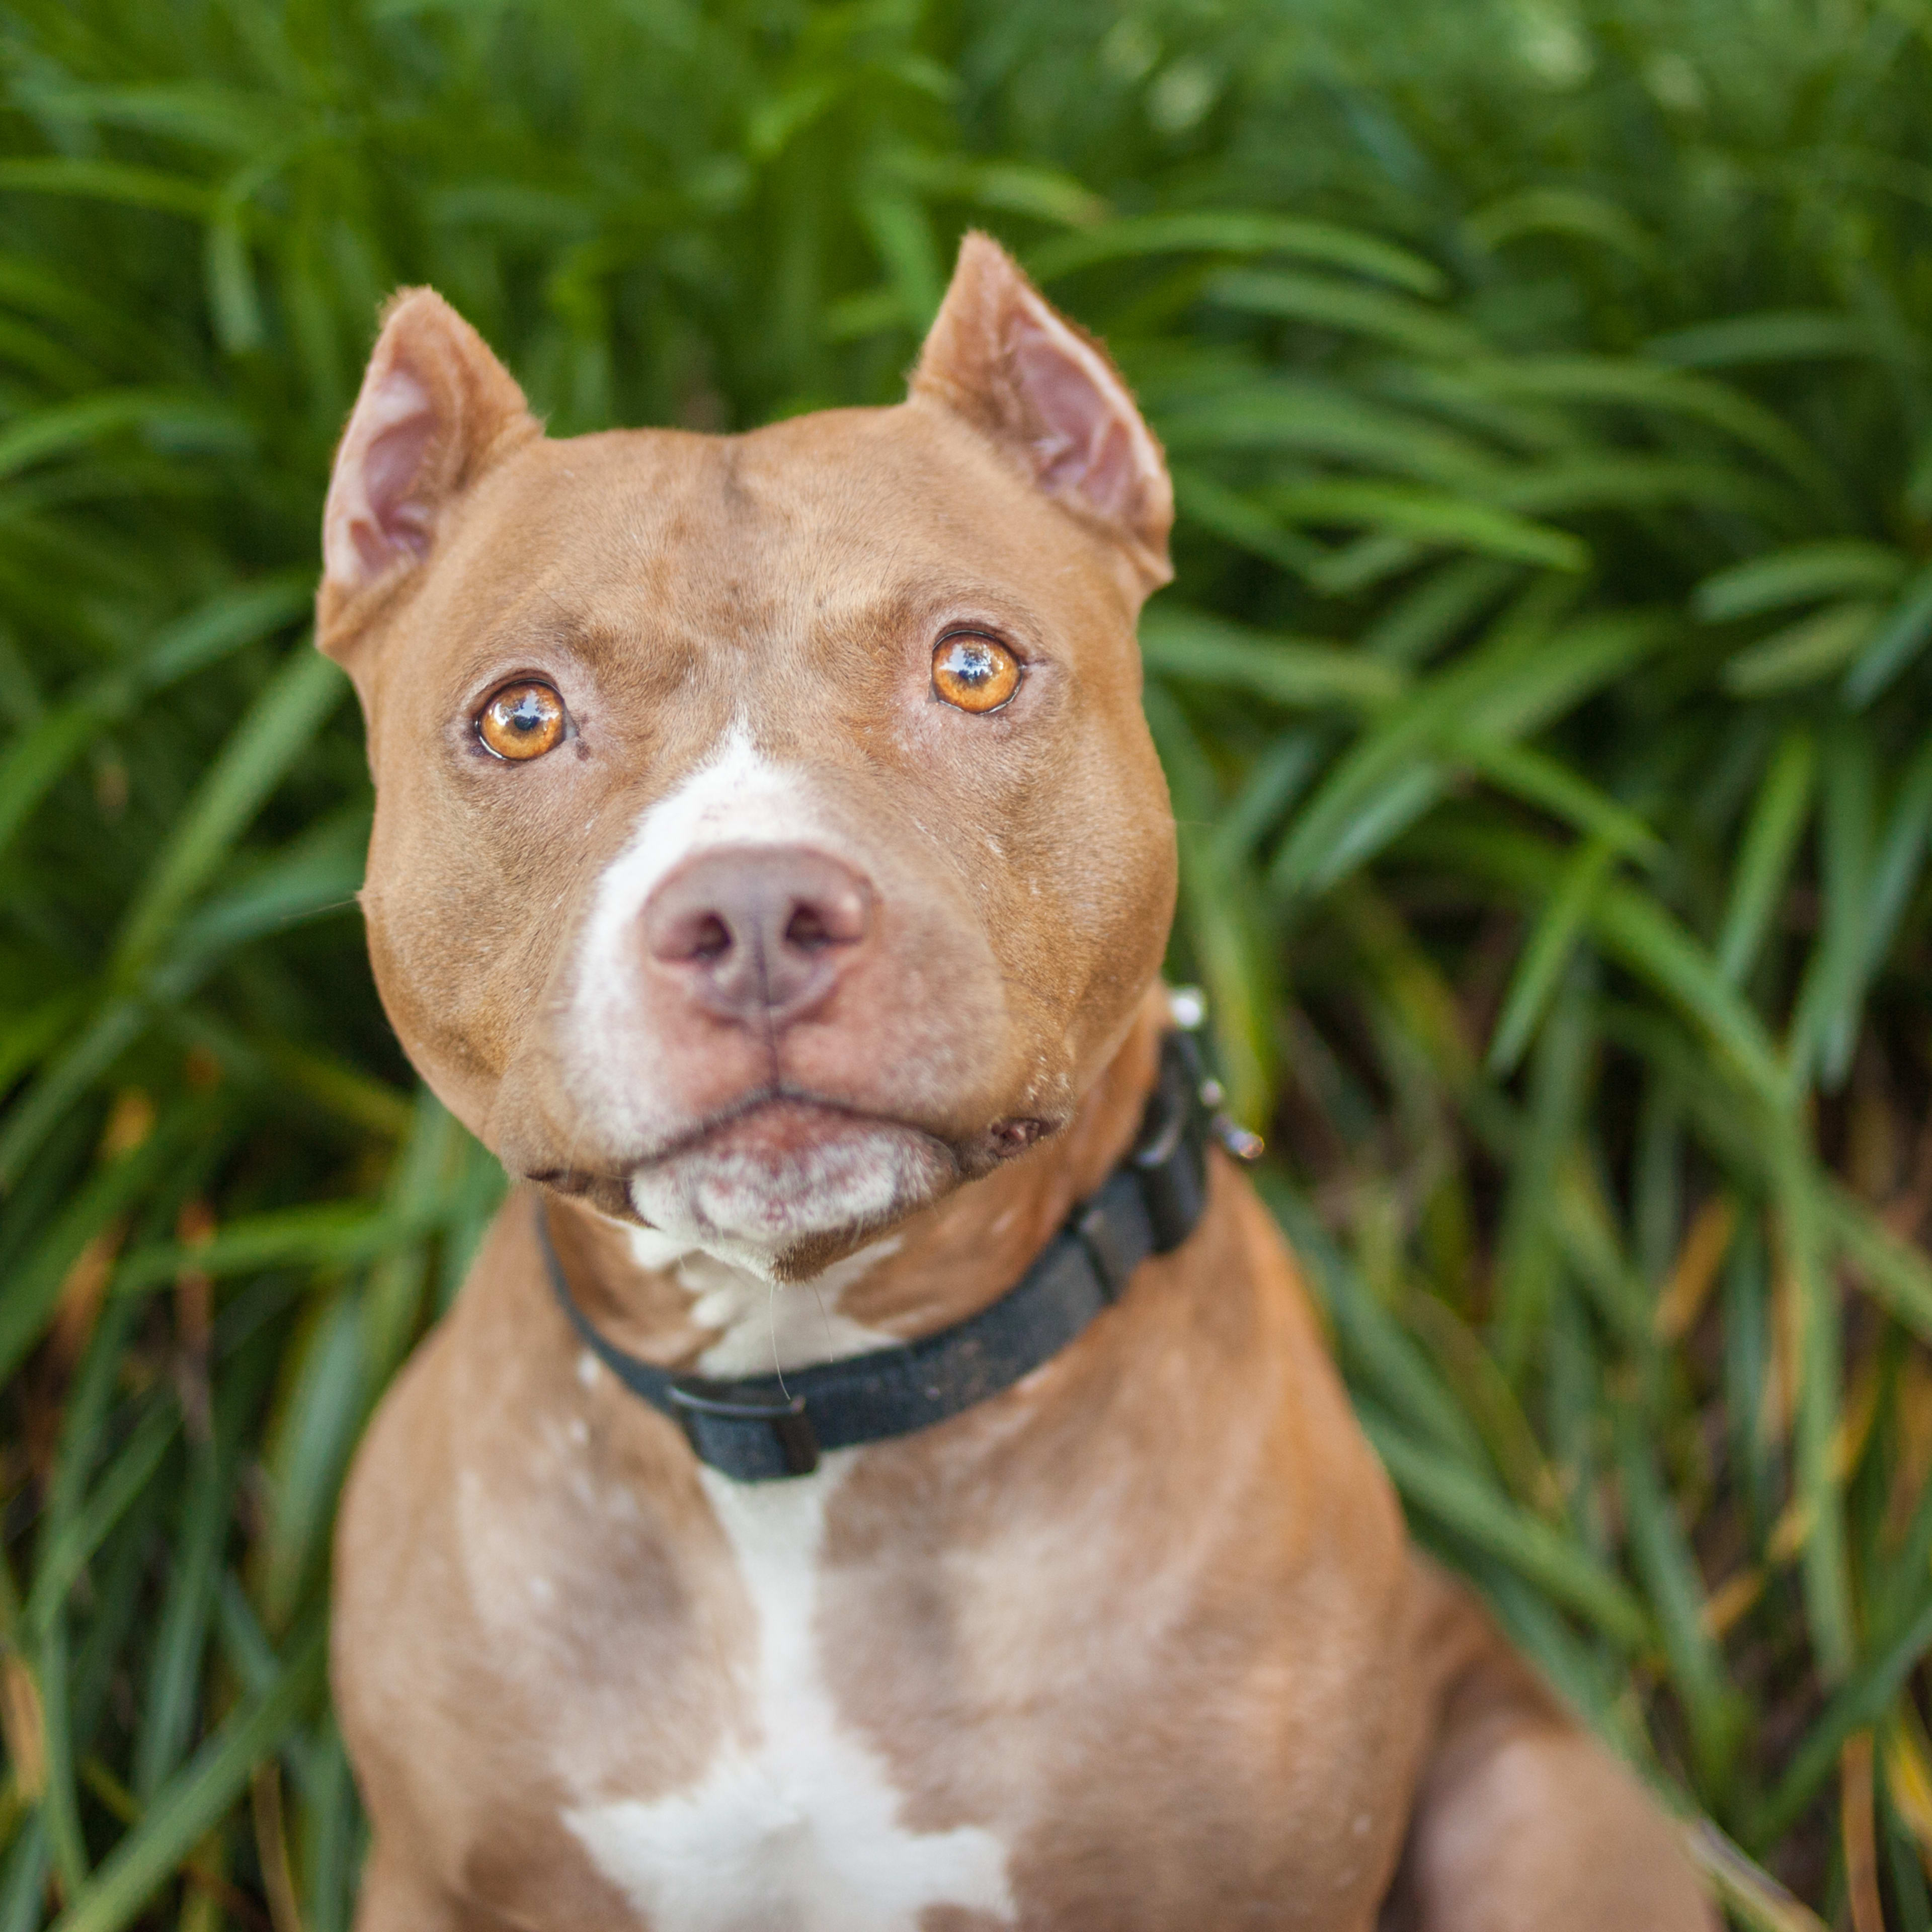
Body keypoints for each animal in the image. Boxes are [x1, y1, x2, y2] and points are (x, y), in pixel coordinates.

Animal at [318, 231, 1716, 1931]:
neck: (801, 1415)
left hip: (1533, 1811)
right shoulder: (431, 1878)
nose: (755, 913)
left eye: (971, 667)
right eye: (522, 716)